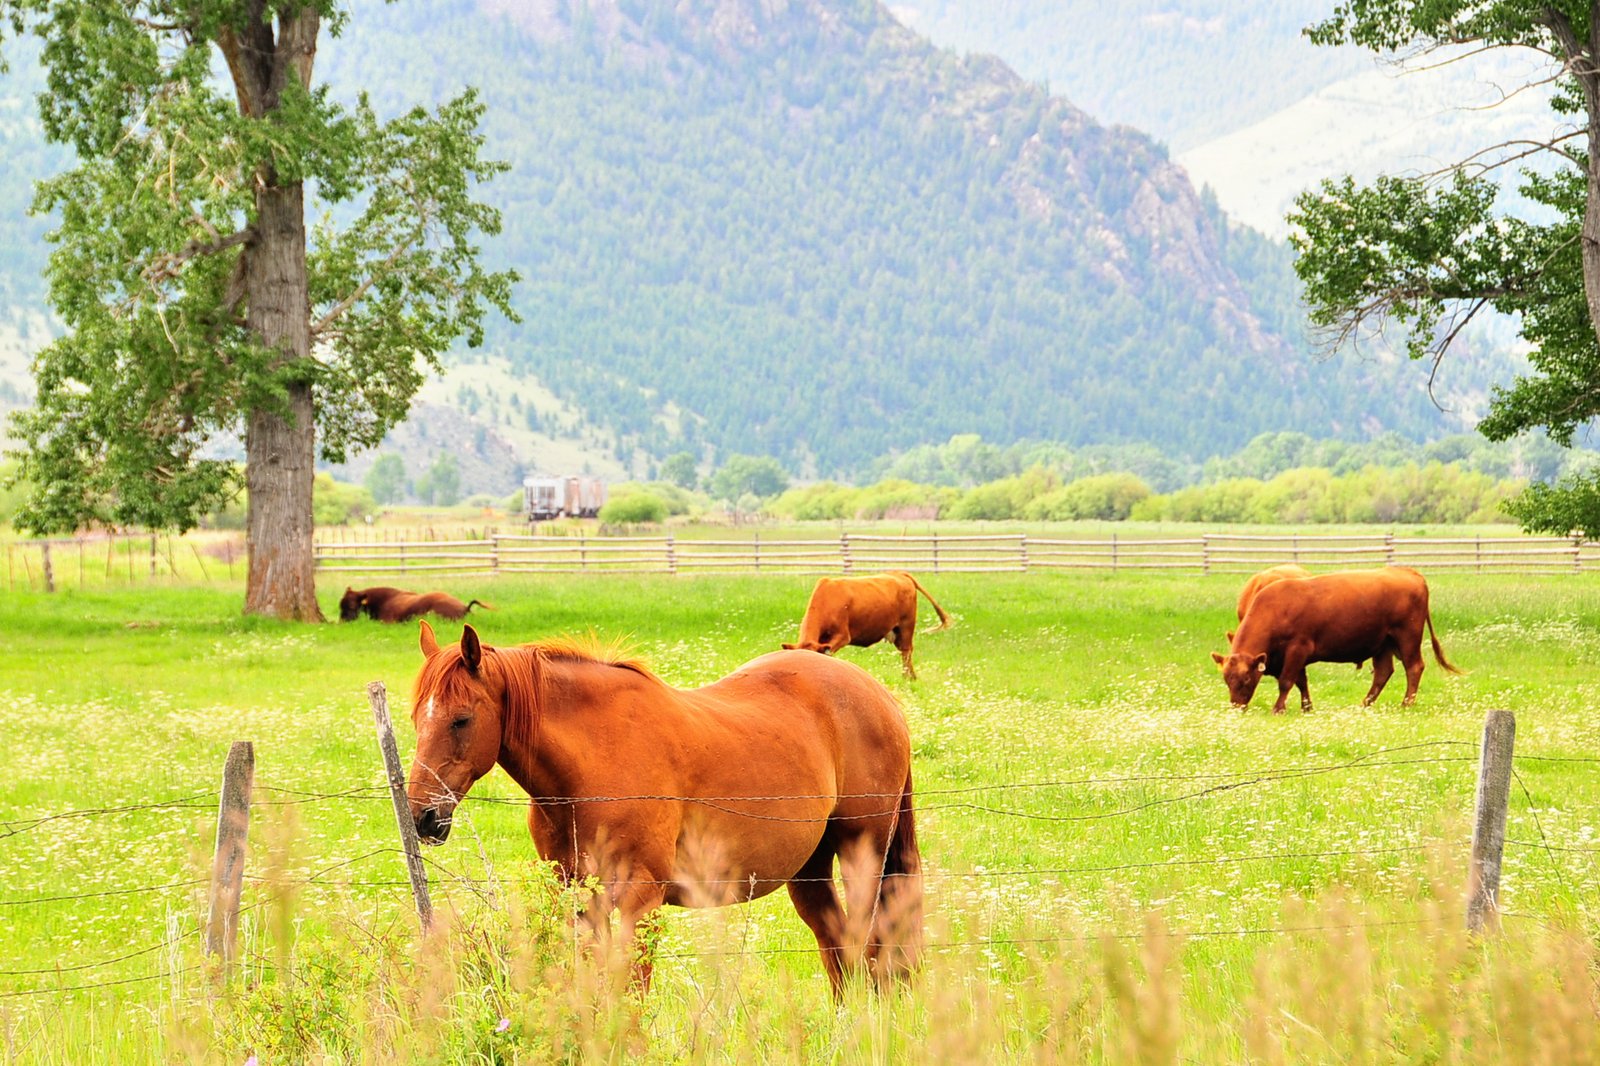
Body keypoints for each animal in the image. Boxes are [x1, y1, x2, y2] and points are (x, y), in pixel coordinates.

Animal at [405, 621, 922, 996]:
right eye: (416, 718)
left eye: (461, 719)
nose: (422, 817)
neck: (595, 762)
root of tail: (879, 696)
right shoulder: (579, 899)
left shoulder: (641, 899)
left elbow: (631, 989)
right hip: (809, 869)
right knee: (837, 946)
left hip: (862, 851)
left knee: (869, 941)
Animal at [782, 571, 951, 679]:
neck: (827, 599)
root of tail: (899, 573)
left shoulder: (843, 636)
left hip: (906, 625)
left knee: (906, 651)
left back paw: (908, 677)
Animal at [1210, 567, 1460, 714]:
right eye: (1226, 679)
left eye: (1245, 679)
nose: (1236, 706)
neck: (1277, 608)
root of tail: (1408, 571)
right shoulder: (1296, 656)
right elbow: (1302, 682)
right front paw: (1307, 707)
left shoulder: (1297, 649)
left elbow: (1287, 681)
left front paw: (1278, 709)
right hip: (1384, 643)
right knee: (1383, 672)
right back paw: (1365, 704)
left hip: (1407, 638)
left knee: (1414, 667)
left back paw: (1407, 703)